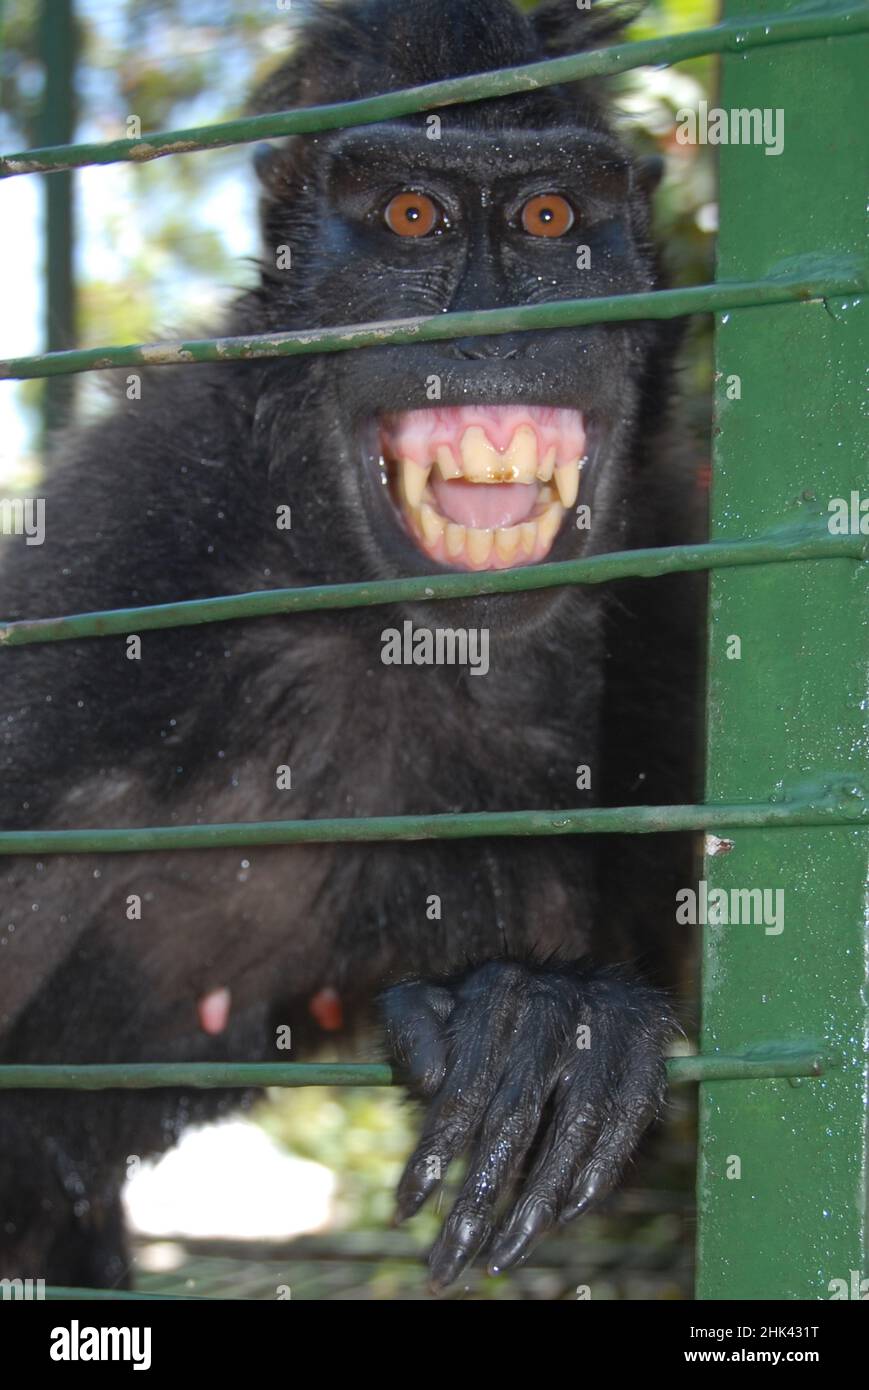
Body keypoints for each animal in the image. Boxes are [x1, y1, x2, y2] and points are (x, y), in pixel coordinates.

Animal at [0, 0, 702, 1293]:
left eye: (546, 219)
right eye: (411, 218)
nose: (489, 333)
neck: (409, 639)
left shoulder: (668, 589)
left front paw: (541, 1025)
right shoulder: (130, 542)